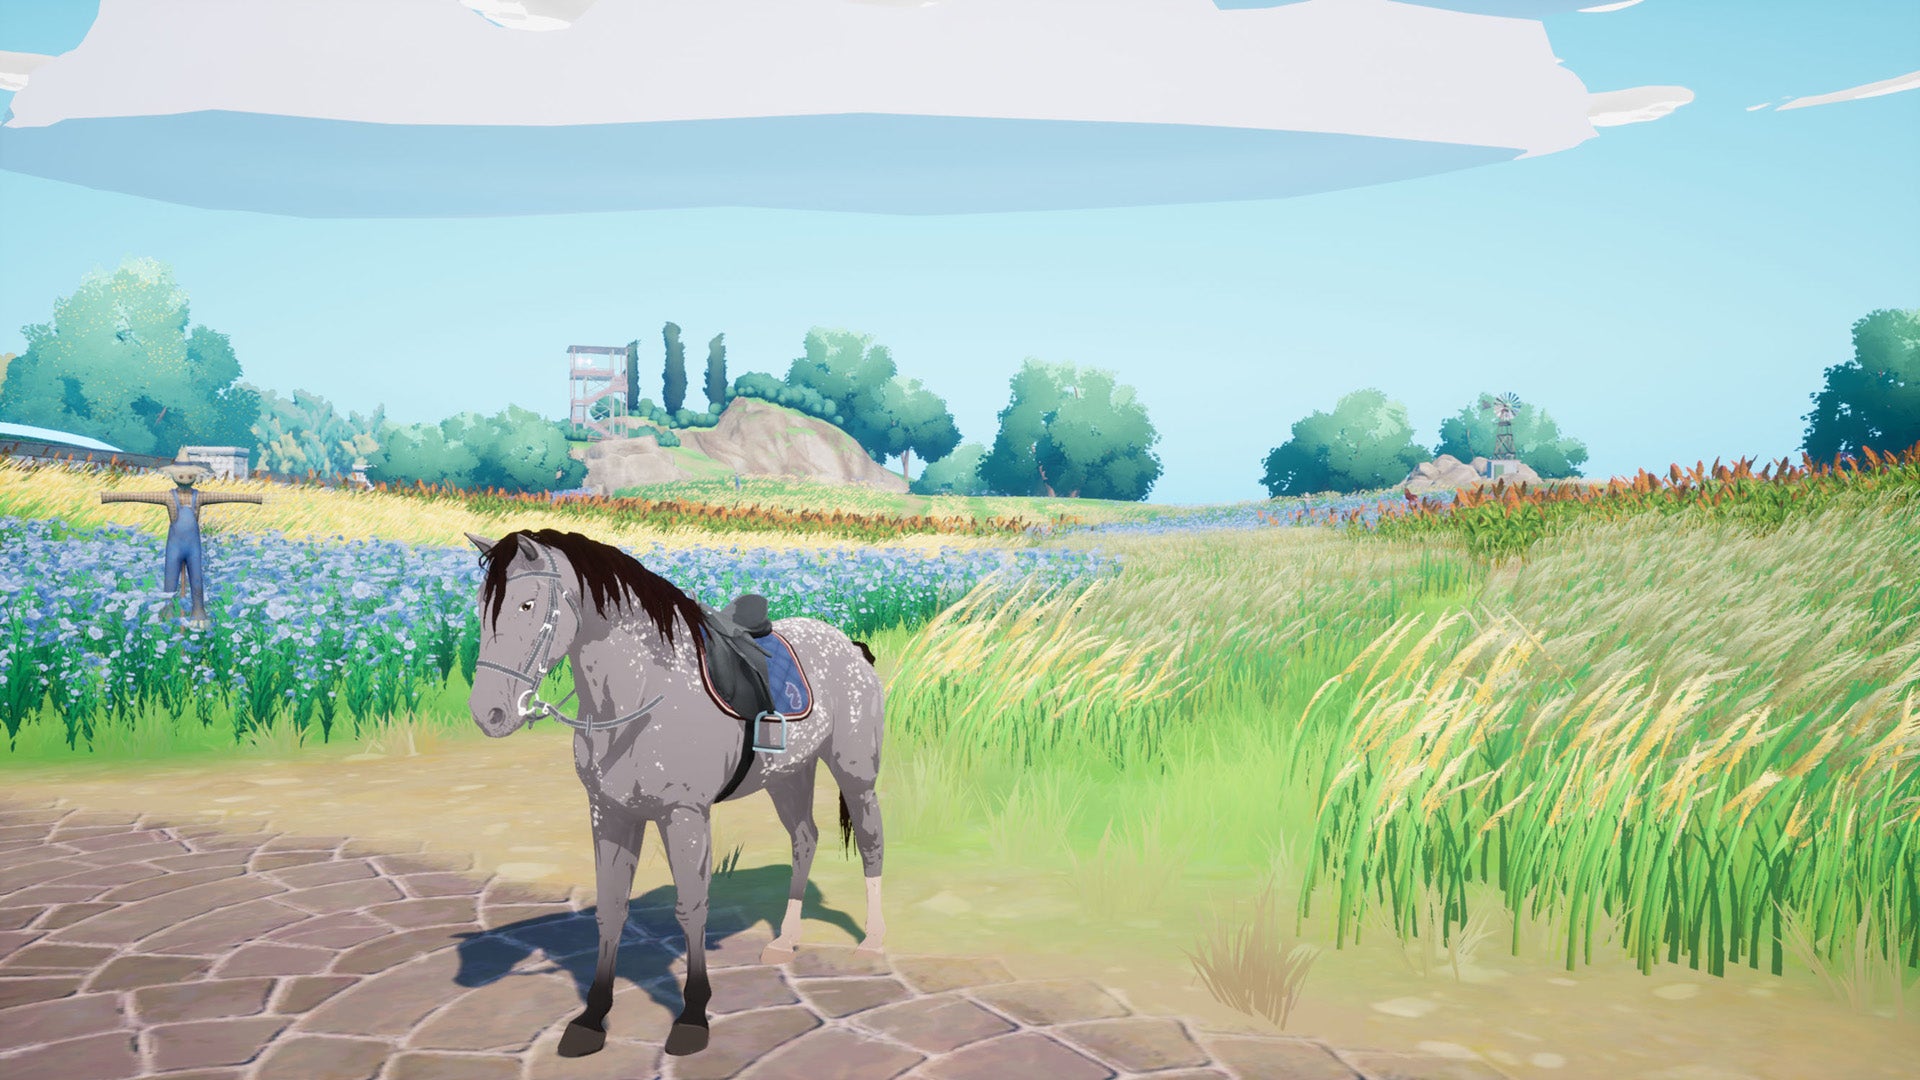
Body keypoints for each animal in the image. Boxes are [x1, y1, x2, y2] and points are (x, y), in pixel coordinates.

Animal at [463, 528, 888, 1057]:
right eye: (482, 605)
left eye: (525, 604)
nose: (489, 713)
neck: (642, 691)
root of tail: (849, 645)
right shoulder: (610, 814)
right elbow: (610, 909)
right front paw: (591, 1019)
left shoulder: (683, 814)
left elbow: (691, 908)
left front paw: (692, 1017)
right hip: (789, 774)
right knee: (804, 839)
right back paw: (785, 941)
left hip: (856, 773)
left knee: (871, 842)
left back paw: (873, 943)